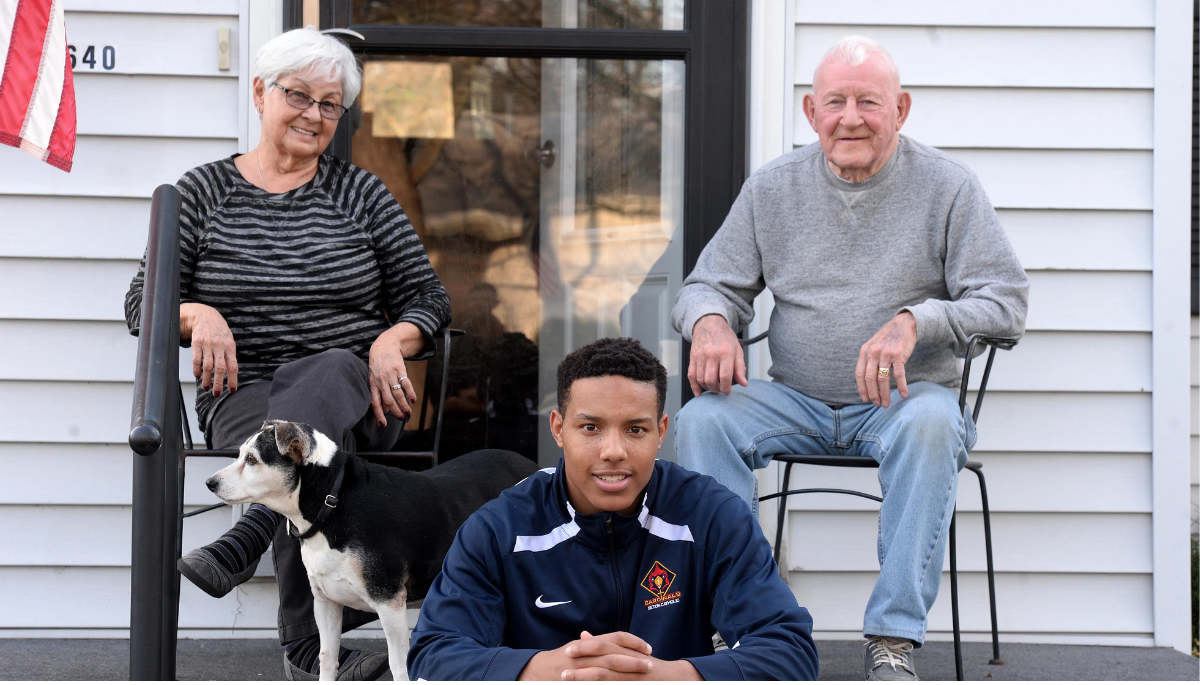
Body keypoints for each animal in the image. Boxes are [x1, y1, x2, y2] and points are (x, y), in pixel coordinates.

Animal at [207, 419, 540, 681]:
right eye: (240, 454)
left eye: (252, 460)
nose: (210, 482)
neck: (333, 500)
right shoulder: (325, 602)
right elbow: (327, 659)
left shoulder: (389, 601)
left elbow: (400, 666)